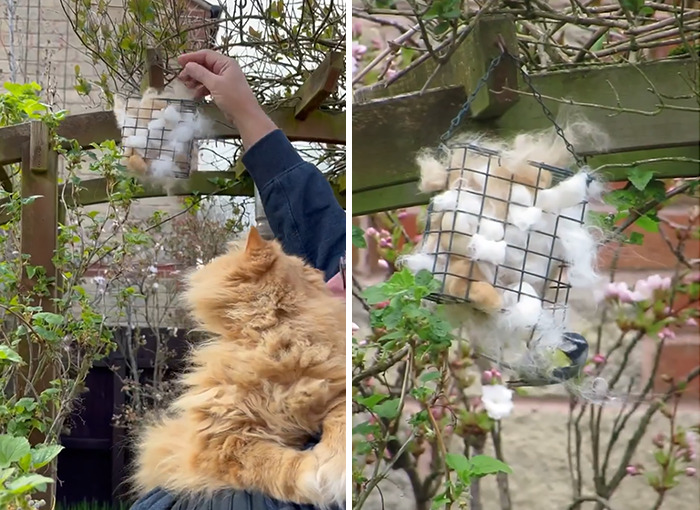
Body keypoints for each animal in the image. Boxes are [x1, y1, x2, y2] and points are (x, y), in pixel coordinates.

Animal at [133, 229, 346, 508]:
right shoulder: (224, 443)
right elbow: (275, 467)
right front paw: (312, 475)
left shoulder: (336, 391)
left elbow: (340, 423)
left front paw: (334, 467)